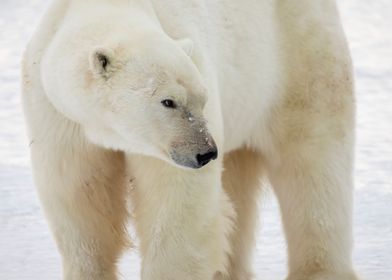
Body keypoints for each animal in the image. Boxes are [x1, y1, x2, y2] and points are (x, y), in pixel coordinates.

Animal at [21, 0, 358, 280]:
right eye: (168, 101)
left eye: (201, 98)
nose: (206, 153)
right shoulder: (58, 116)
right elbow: (79, 196)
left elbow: (177, 204)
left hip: (296, 59)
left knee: (313, 167)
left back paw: (321, 271)